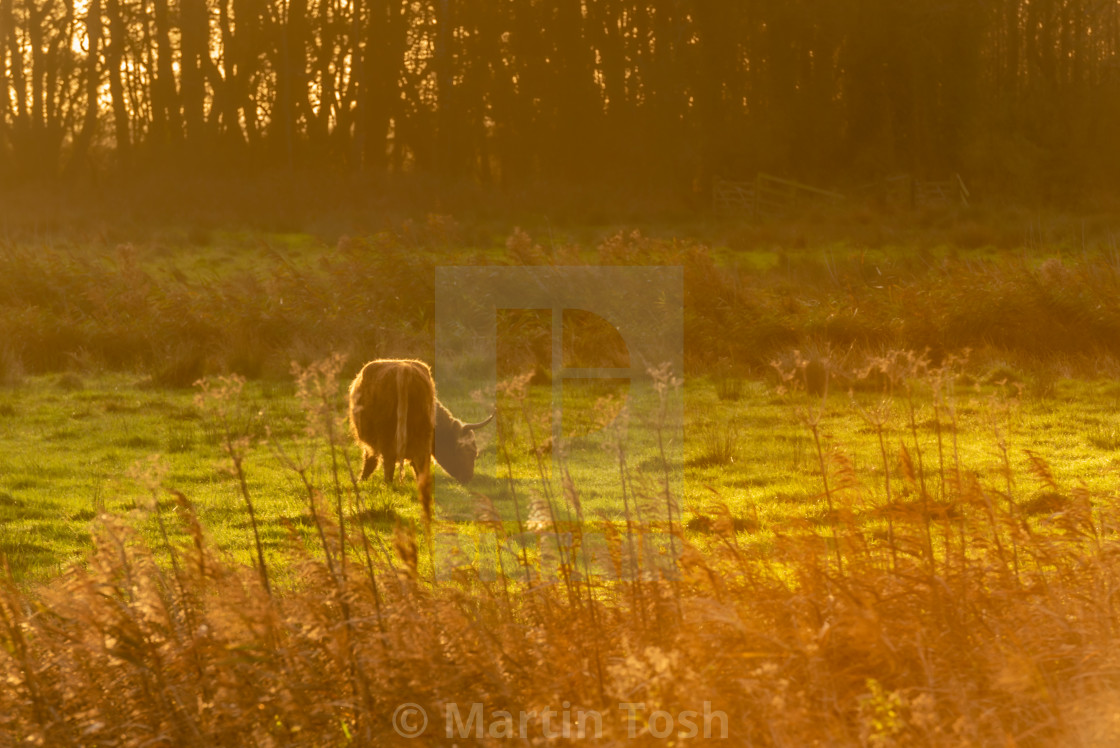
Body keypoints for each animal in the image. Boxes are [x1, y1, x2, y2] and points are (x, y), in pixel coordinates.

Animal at [347, 358, 492, 517]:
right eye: (471, 452)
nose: (468, 478)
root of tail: (404, 369)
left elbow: (370, 462)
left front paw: (361, 482)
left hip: (388, 437)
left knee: (390, 467)